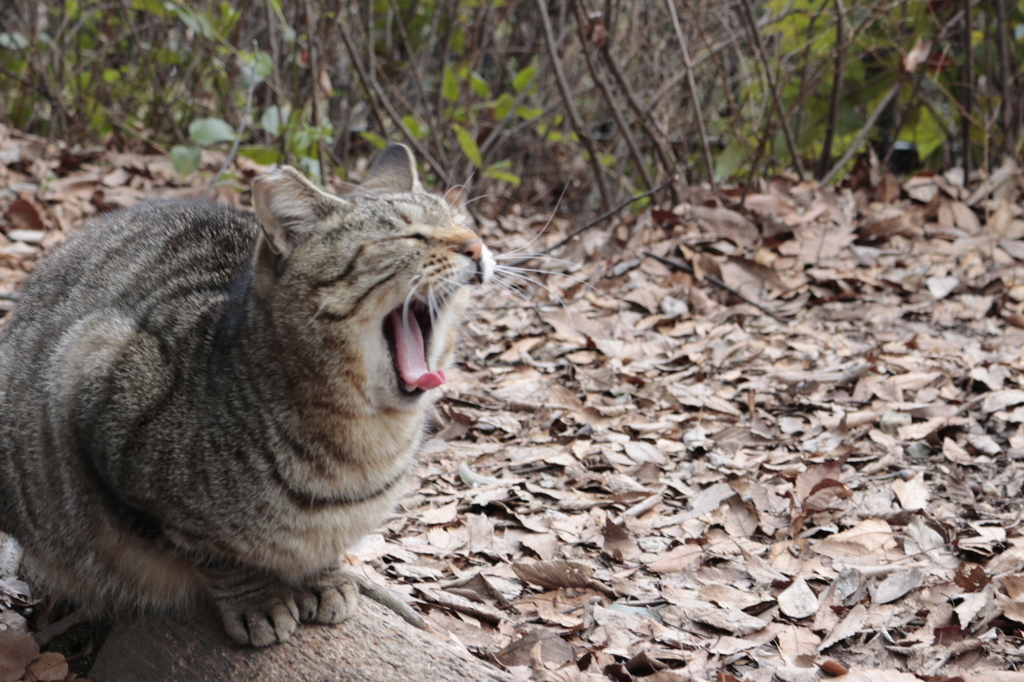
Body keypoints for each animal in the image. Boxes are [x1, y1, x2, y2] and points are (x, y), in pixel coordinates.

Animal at [0, 143, 495, 643]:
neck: (368, 441)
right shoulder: (96, 372)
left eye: (462, 223)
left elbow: (318, 547)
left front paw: (321, 575)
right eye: (409, 235)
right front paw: (258, 598)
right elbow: (216, 554)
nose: (476, 245)